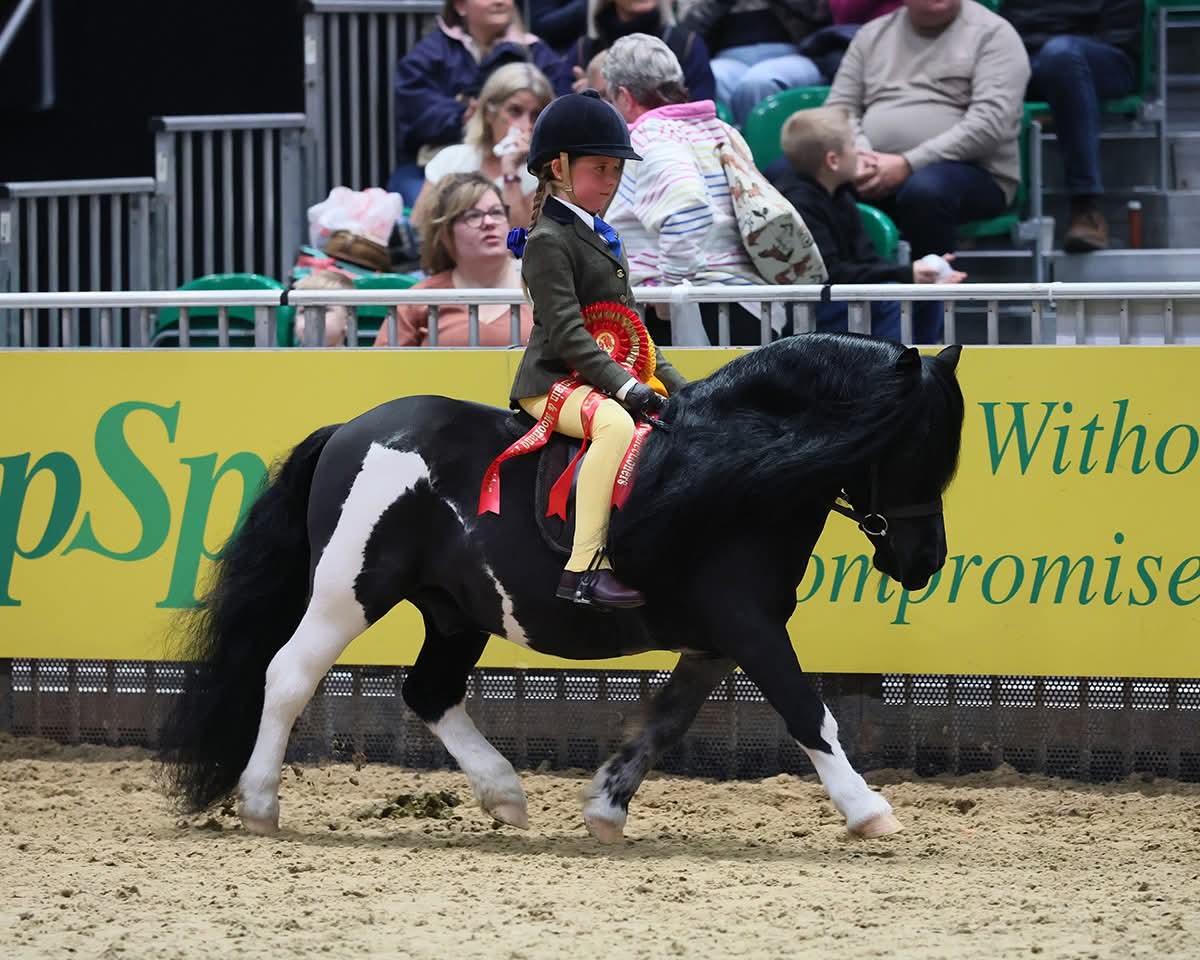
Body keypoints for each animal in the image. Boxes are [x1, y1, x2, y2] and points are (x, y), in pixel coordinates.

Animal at [160, 332, 964, 842]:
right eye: (914, 447)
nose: (925, 561)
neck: (738, 470)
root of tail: (350, 431)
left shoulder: (716, 640)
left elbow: (667, 720)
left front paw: (606, 809)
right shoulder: (752, 628)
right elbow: (808, 713)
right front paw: (869, 811)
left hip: (454, 611)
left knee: (429, 691)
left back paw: (505, 796)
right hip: (347, 593)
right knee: (290, 674)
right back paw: (260, 805)